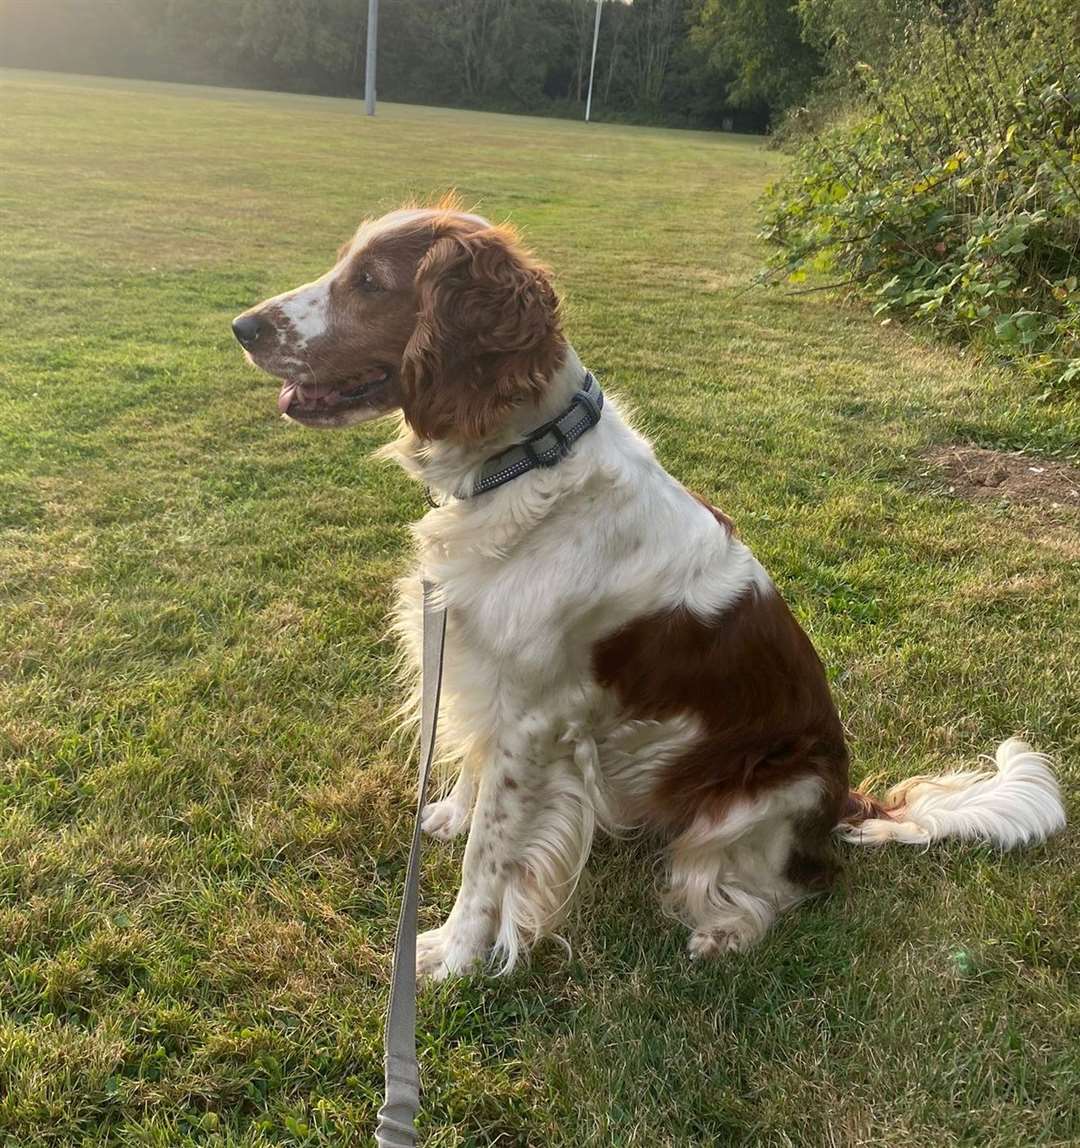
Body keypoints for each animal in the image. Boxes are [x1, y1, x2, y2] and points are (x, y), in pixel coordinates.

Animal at [231, 204, 1065, 978]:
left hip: (748, 805)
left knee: (783, 887)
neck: (524, 460)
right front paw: (449, 817)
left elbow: (490, 858)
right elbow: (471, 774)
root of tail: (843, 804)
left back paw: (723, 931)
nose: (242, 326)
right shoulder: (476, 666)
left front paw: (452, 953)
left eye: (371, 283)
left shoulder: (532, 719)